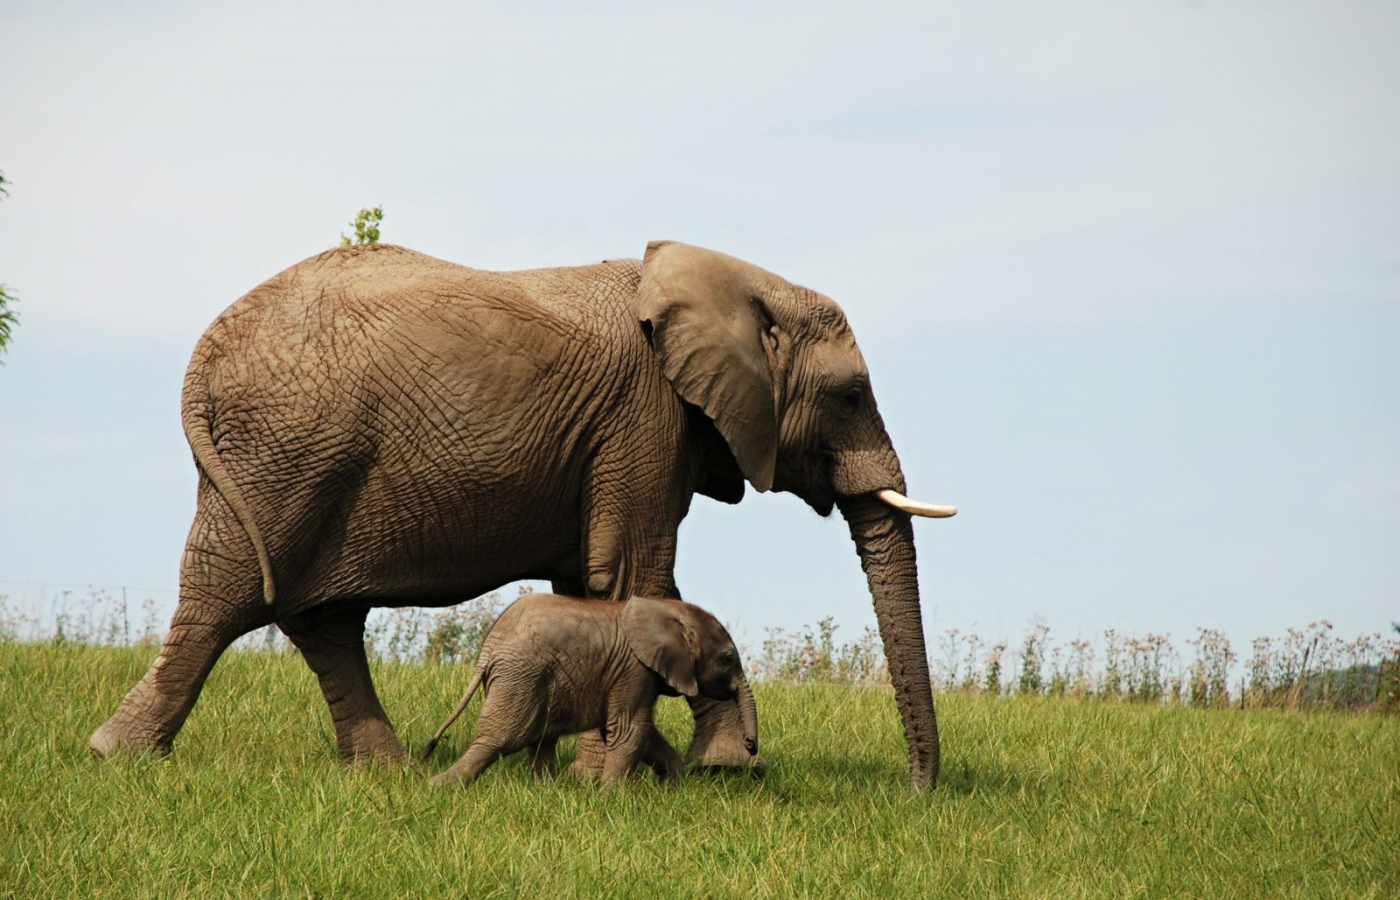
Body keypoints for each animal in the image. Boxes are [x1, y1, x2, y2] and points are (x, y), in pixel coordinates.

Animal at [420, 596, 761, 783]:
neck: (665, 609)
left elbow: (644, 733)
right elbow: (629, 730)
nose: (750, 745)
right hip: (519, 676)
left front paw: (673, 788)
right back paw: (437, 786)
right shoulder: (634, 668)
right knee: (500, 738)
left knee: (539, 740)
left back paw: (546, 792)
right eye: (728, 658)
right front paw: (610, 798)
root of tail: (488, 649)